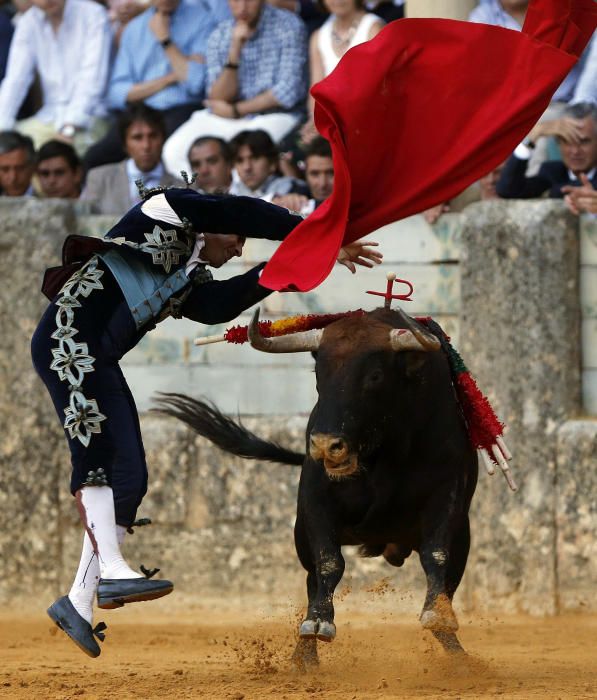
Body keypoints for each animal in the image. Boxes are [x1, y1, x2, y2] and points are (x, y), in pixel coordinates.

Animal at [152, 308, 474, 668]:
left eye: (375, 376)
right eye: (320, 373)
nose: (324, 445)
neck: (383, 452)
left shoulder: (448, 493)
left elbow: (437, 554)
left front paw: (439, 616)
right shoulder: (316, 502)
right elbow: (329, 562)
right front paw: (319, 622)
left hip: (462, 535)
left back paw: (458, 656)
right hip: (302, 536)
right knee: (312, 580)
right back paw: (304, 655)